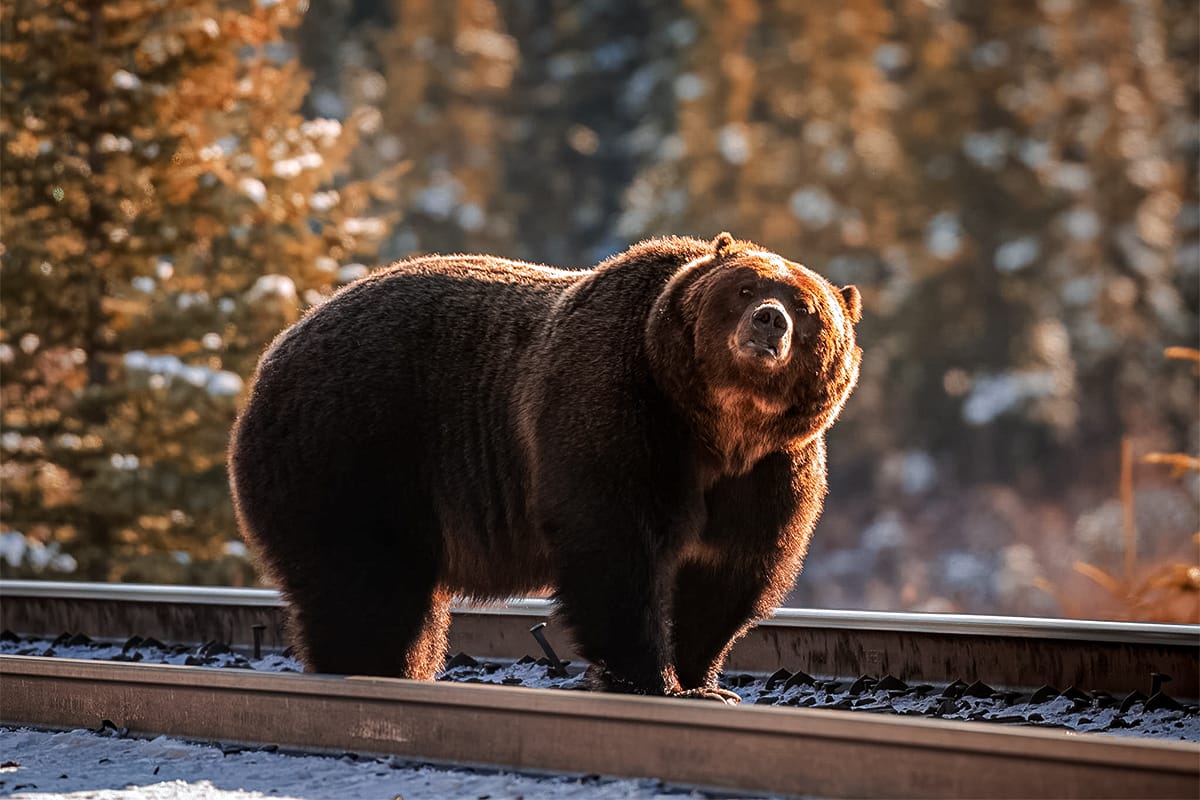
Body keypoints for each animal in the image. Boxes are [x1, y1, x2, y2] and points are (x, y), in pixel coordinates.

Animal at [226, 231, 864, 700]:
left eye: (807, 306)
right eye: (744, 287)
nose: (769, 320)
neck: (719, 426)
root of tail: (276, 349)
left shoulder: (771, 470)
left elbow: (731, 569)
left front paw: (703, 681)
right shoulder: (616, 409)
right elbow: (615, 548)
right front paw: (647, 678)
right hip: (353, 450)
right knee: (364, 584)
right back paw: (370, 667)